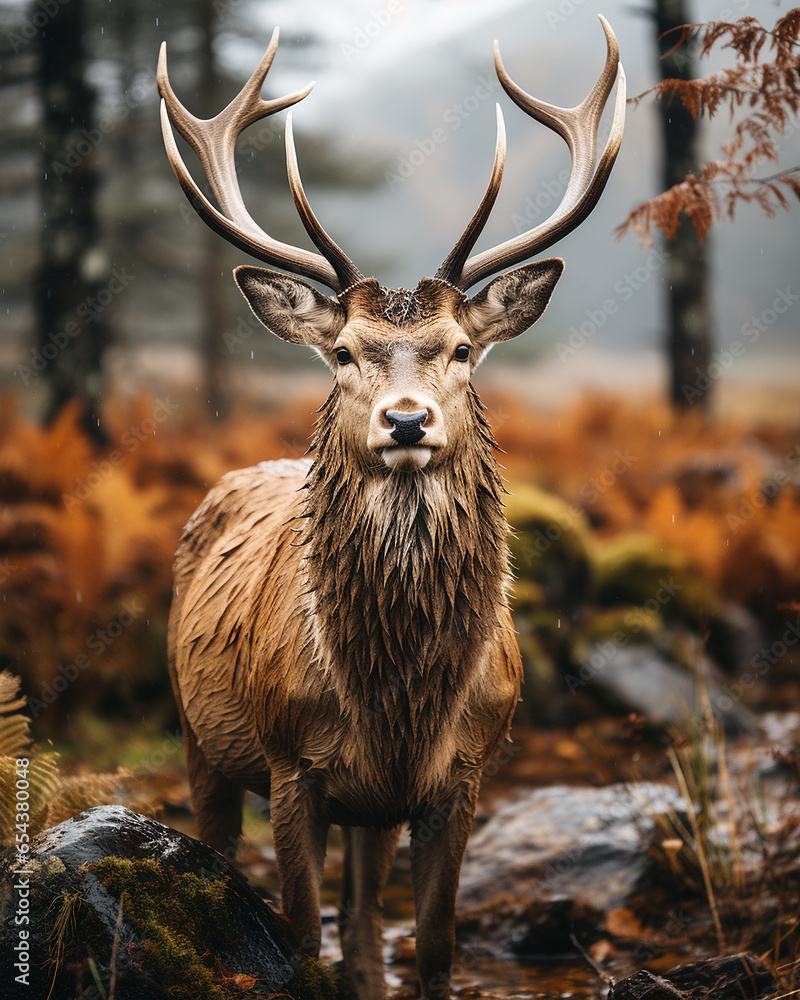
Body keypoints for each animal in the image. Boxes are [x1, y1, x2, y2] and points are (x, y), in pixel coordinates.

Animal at [158, 17, 624, 1000]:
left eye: (460, 349)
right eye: (341, 351)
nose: (406, 420)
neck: (402, 706)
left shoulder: (466, 772)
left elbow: (434, 944)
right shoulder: (291, 762)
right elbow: (303, 940)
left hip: (368, 809)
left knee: (369, 925)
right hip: (197, 731)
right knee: (226, 855)